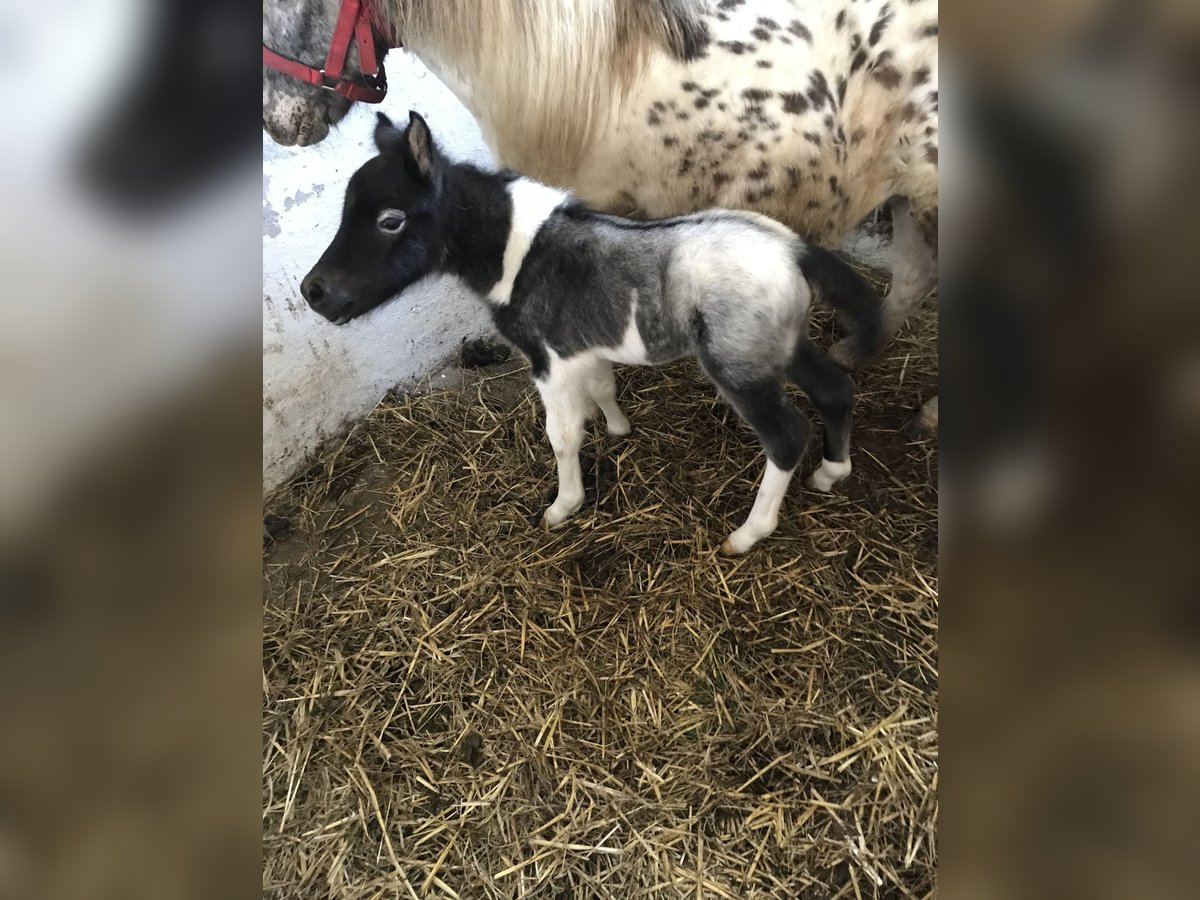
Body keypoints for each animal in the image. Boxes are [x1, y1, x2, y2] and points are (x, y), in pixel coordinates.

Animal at [300, 113, 883, 556]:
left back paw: (746, 535)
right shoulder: (580, 345)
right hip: (780, 345)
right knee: (834, 389)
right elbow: (603, 387)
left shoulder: (548, 360)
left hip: (739, 366)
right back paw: (831, 473)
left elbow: (562, 435)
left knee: (786, 436)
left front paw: (562, 507)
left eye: (391, 219)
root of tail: (794, 249)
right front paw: (620, 430)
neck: (515, 251)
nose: (314, 292)